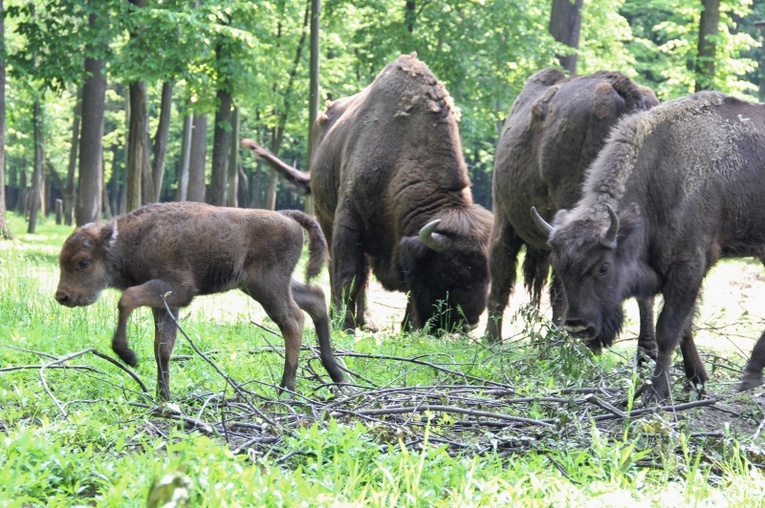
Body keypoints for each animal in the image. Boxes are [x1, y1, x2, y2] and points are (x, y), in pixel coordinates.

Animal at [52, 200, 342, 398]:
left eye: (83, 262)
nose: (62, 296)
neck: (135, 239)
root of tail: (286, 216)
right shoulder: (165, 305)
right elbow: (162, 347)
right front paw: (163, 396)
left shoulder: (176, 291)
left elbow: (127, 298)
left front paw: (128, 356)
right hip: (264, 285)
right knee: (315, 299)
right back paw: (335, 373)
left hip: (267, 288)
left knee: (293, 321)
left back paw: (286, 388)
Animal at [246, 54, 496, 334]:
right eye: (447, 272)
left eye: (487, 274)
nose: (469, 323)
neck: (403, 154)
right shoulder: (349, 223)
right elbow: (348, 274)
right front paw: (344, 324)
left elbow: (393, 285)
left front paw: (407, 326)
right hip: (325, 218)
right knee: (340, 270)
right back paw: (343, 317)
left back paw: (367, 321)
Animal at [532, 90, 764, 400]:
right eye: (559, 267)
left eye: (603, 267)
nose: (578, 325)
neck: (659, 173)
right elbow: (684, 326)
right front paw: (697, 381)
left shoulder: (688, 266)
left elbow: (668, 327)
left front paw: (657, 392)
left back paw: (750, 377)